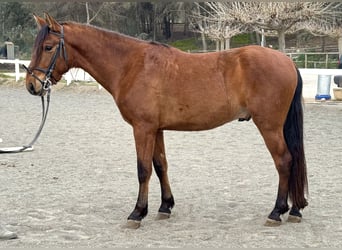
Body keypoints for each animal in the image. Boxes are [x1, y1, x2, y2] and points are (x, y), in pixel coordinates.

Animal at [23, 13, 308, 229]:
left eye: (48, 47)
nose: (32, 86)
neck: (131, 65)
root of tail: (287, 61)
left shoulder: (143, 129)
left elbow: (143, 170)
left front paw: (137, 213)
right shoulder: (156, 129)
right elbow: (160, 166)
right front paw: (164, 206)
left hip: (269, 126)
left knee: (284, 161)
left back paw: (277, 212)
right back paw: (294, 210)